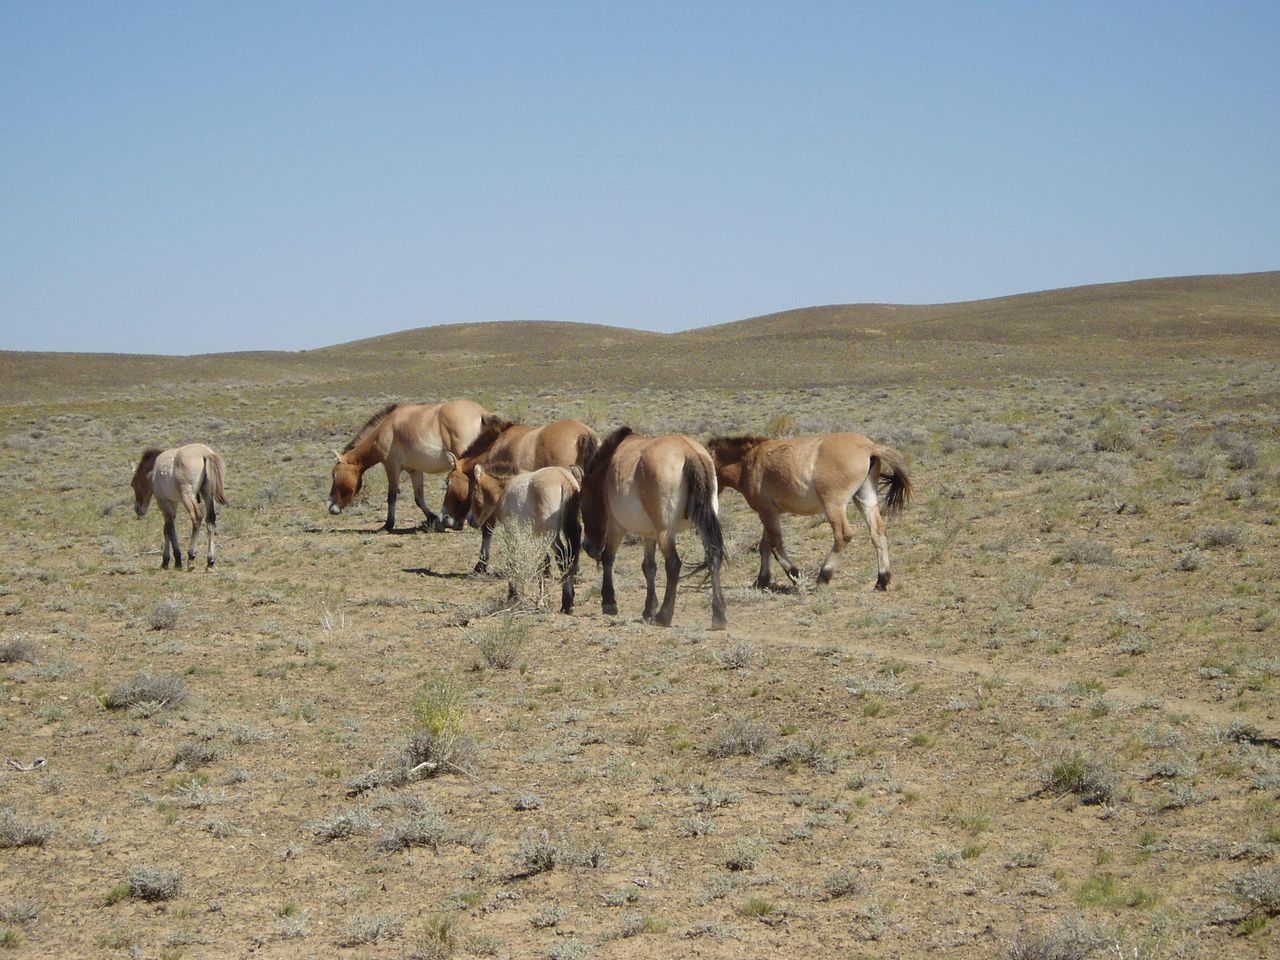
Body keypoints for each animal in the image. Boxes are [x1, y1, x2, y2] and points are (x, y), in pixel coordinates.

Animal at [327, 399, 486, 535]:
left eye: (334, 474)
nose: (330, 505)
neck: (386, 427)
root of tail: (481, 412)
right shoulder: (414, 470)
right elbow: (419, 497)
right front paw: (433, 519)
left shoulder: (392, 467)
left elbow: (392, 497)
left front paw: (387, 525)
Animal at [440, 414, 599, 568]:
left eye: (448, 481)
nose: (444, 518)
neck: (497, 448)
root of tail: (584, 434)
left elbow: (488, 529)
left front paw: (481, 565)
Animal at [468, 465, 583, 616]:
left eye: (474, 490)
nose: (470, 520)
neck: (505, 489)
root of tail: (564, 479)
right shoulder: (534, 537)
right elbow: (543, 564)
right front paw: (543, 599)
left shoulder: (512, 534)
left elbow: (513, 562)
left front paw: (513, 595)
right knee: (569, 560)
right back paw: (569, 602)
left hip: (551, 537)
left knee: (562, 558)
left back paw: (566, 603)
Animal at [583, 427, 732, 632]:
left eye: (581, 502)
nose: (587, 547)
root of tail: (689, 452)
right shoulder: (650, 534)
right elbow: (649, 567)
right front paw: (648, 609)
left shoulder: (616, 527)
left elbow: (608, 558)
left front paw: (609, 603)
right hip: (702, 525)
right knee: (713, 556)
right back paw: (718, 615)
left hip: (665, 533)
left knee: (674, 564)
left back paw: (664, 616)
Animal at [701, 432, 911, 591]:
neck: (749, 461)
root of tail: (869, 448)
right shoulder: (770, 513)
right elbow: (765, 546)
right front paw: (762, 580)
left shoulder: (767, 513)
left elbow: (775, 546)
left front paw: (796, 575)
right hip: (865, 500)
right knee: (878, 532)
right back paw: (882, 580)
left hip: (834, 506)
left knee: (843, 535)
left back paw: (823, 577)